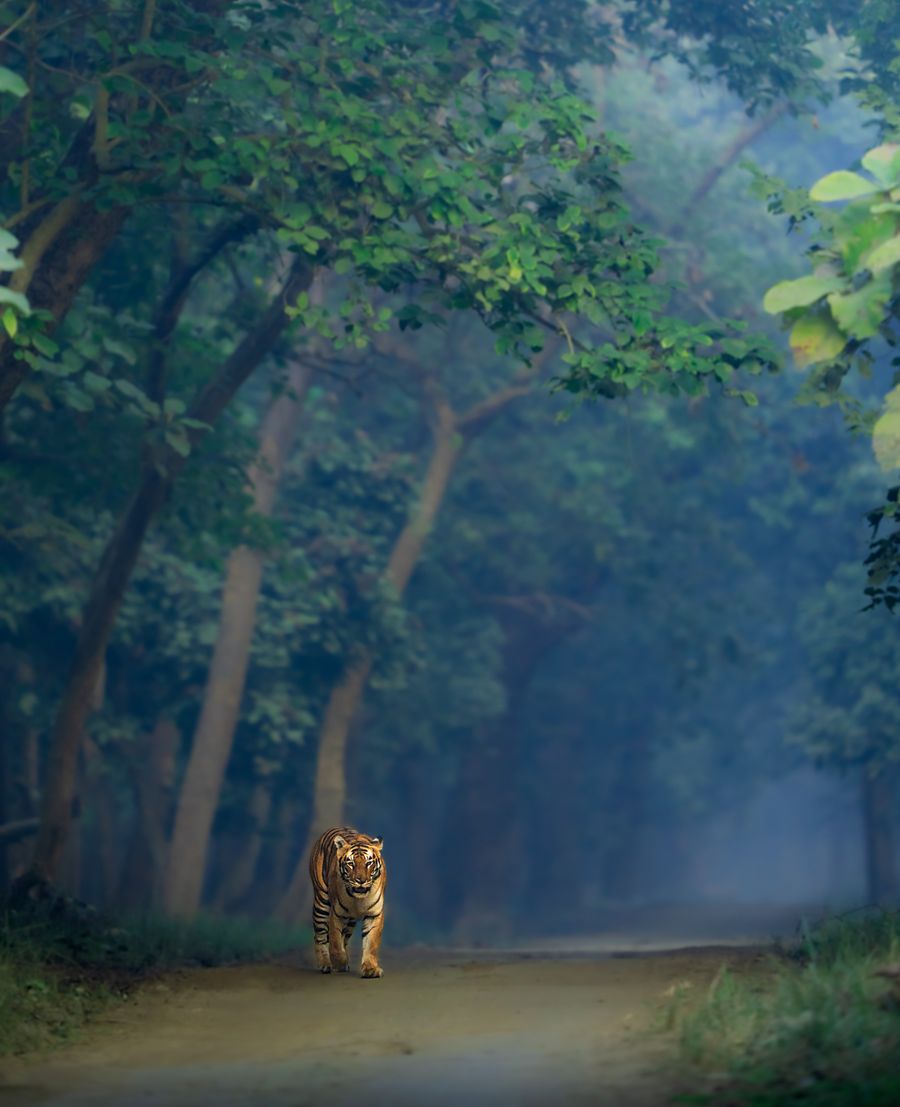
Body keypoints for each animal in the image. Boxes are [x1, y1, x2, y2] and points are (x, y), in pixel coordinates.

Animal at [309, 826, 386, 978]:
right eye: (351, 864)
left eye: (369, 863)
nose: (361, 880)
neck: (358, 899)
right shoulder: (336, 914)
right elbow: (335, 942)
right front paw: (339, 962)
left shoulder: (374, 914)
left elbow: (371, 943)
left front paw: (370, 969)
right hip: (321, 902)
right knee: (320, 936)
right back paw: (325, 964)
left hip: (350, 921)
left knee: (344, 937)